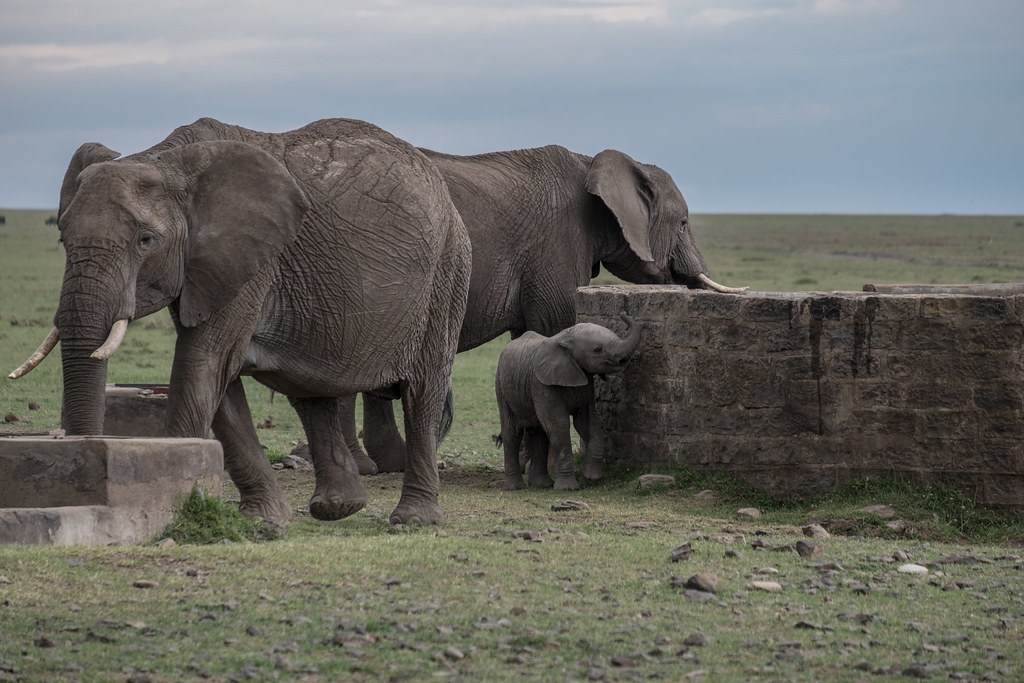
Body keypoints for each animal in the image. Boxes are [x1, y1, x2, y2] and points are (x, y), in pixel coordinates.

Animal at [9, 117, 471, 529]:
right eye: (62, 238)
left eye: (145, 240)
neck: (167, 160)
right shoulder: (205, 267)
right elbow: (219, 381)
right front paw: (264, 523)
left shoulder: (252, 262)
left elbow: (204, 364)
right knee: (312, 392)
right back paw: (337, 508)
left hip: (447, 274)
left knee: (422, 393)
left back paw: (413, 521)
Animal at [357, 144, 744, 473]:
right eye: (684, 223)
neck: (591, 163)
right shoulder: (556, 246)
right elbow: (555, 326)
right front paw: (540, 464)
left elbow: (525, 336)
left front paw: (528, 461)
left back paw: (382, 466)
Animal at [495, 313, 641, 491]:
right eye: (598, 349)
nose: (623, 314)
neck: (565, 338)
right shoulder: (542, 384)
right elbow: (559, 424)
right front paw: (568, 488)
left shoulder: (585, 383)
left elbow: (588, 422)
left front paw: (590, 475)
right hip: (501, 385)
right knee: (512, 432)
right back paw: (516, 487)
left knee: (540, 433)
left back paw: (542, 485)